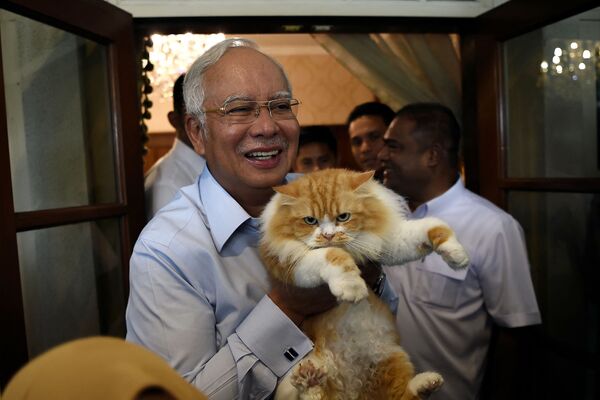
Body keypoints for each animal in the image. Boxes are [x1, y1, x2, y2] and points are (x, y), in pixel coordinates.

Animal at [260, 167, 472, 398]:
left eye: (343, 217)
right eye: (310, 221)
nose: (328, 236)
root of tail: (353, 391)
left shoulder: (391, 242)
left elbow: (432, 227)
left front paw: (457, 255)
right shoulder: (294, 264)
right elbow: (332, 255)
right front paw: (351, 287)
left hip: (393, 358)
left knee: (406, 395)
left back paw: (428, 382)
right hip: (297, 373)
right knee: (311, 394)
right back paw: (309, 379)